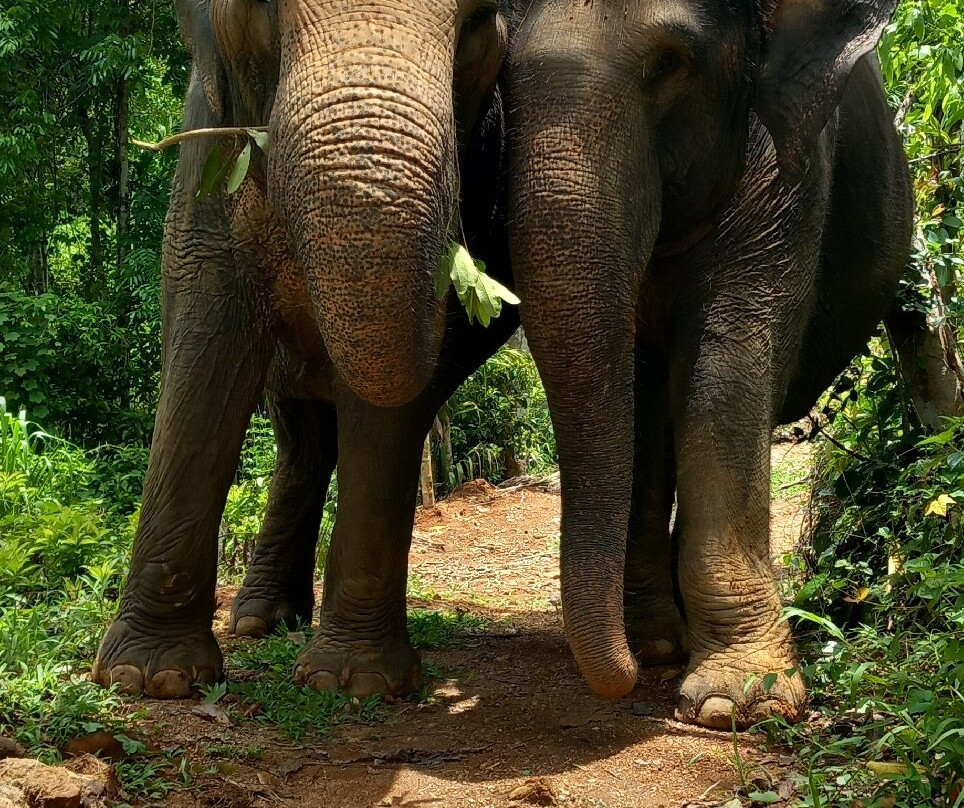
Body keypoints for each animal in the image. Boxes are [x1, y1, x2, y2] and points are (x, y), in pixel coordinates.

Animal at [92, 0, 518, 699]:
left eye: (480, 21)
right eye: (258, 8)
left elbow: (386, 402)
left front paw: (352, 682)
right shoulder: (209, 144)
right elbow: (206, 330)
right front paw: (148, 678)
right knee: (300, 435)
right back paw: (258, 621)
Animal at [504, 0, 913, 729]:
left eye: (670, 62)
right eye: (501, 69)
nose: (621, 680)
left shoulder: (788, 171)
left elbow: (729, 357)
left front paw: (736, 702)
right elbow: (638, 389)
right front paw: (654, 647)